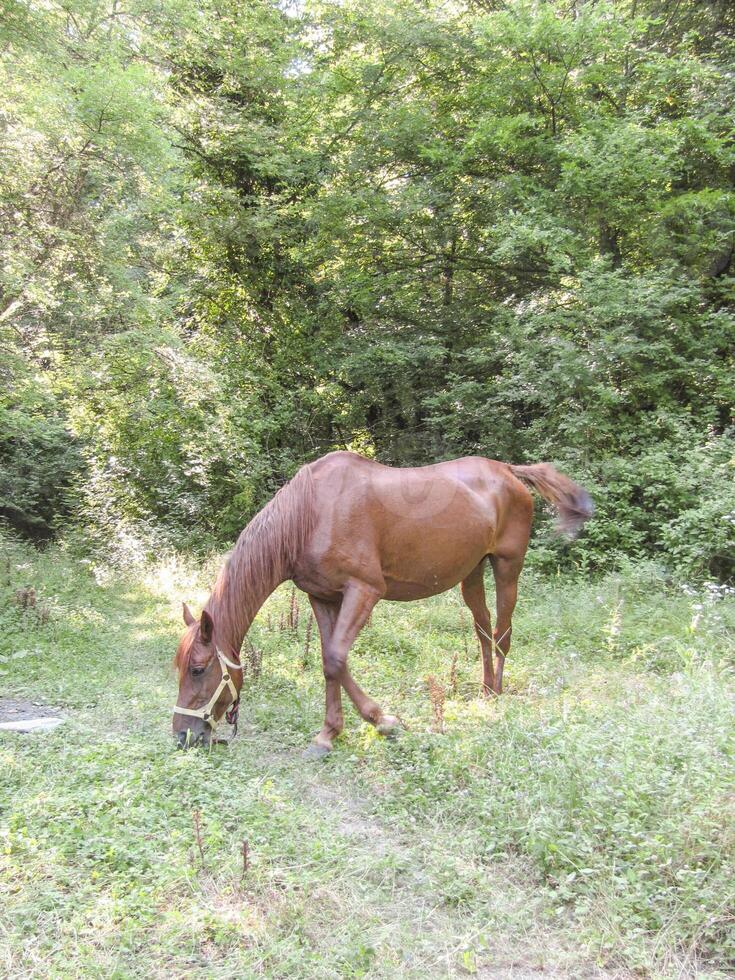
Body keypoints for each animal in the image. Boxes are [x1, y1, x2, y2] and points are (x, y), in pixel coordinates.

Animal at [171, 448, 592, 756]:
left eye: (198, 669)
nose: (182, 737)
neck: (310, 514)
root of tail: (507, 470)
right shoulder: (322, 597)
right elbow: (329, 662)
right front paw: (328, 734)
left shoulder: (364, 590)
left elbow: (336, 658)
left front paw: (384, 722)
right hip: (472, 573)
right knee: (483, 629)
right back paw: (487, 690)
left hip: (507, 567)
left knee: (502, 632)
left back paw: (498, 695)